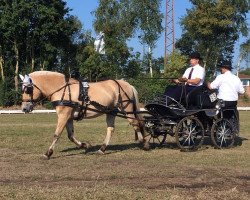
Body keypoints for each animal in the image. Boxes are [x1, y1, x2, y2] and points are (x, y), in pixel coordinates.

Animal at [20, 71, 148, 159]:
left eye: (28, 89)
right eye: (23, 89)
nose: (24, 108)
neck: (62, 90)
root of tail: (127, 84)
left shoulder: (63, 115)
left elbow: (57, 134)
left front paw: (48, 153)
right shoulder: (68, 117)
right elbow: (70, 135)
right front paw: (84, 145)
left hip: (126, 108)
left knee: (136, 123)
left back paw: (144, 143)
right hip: (111, 111)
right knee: (111, 129)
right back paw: (102, 149)